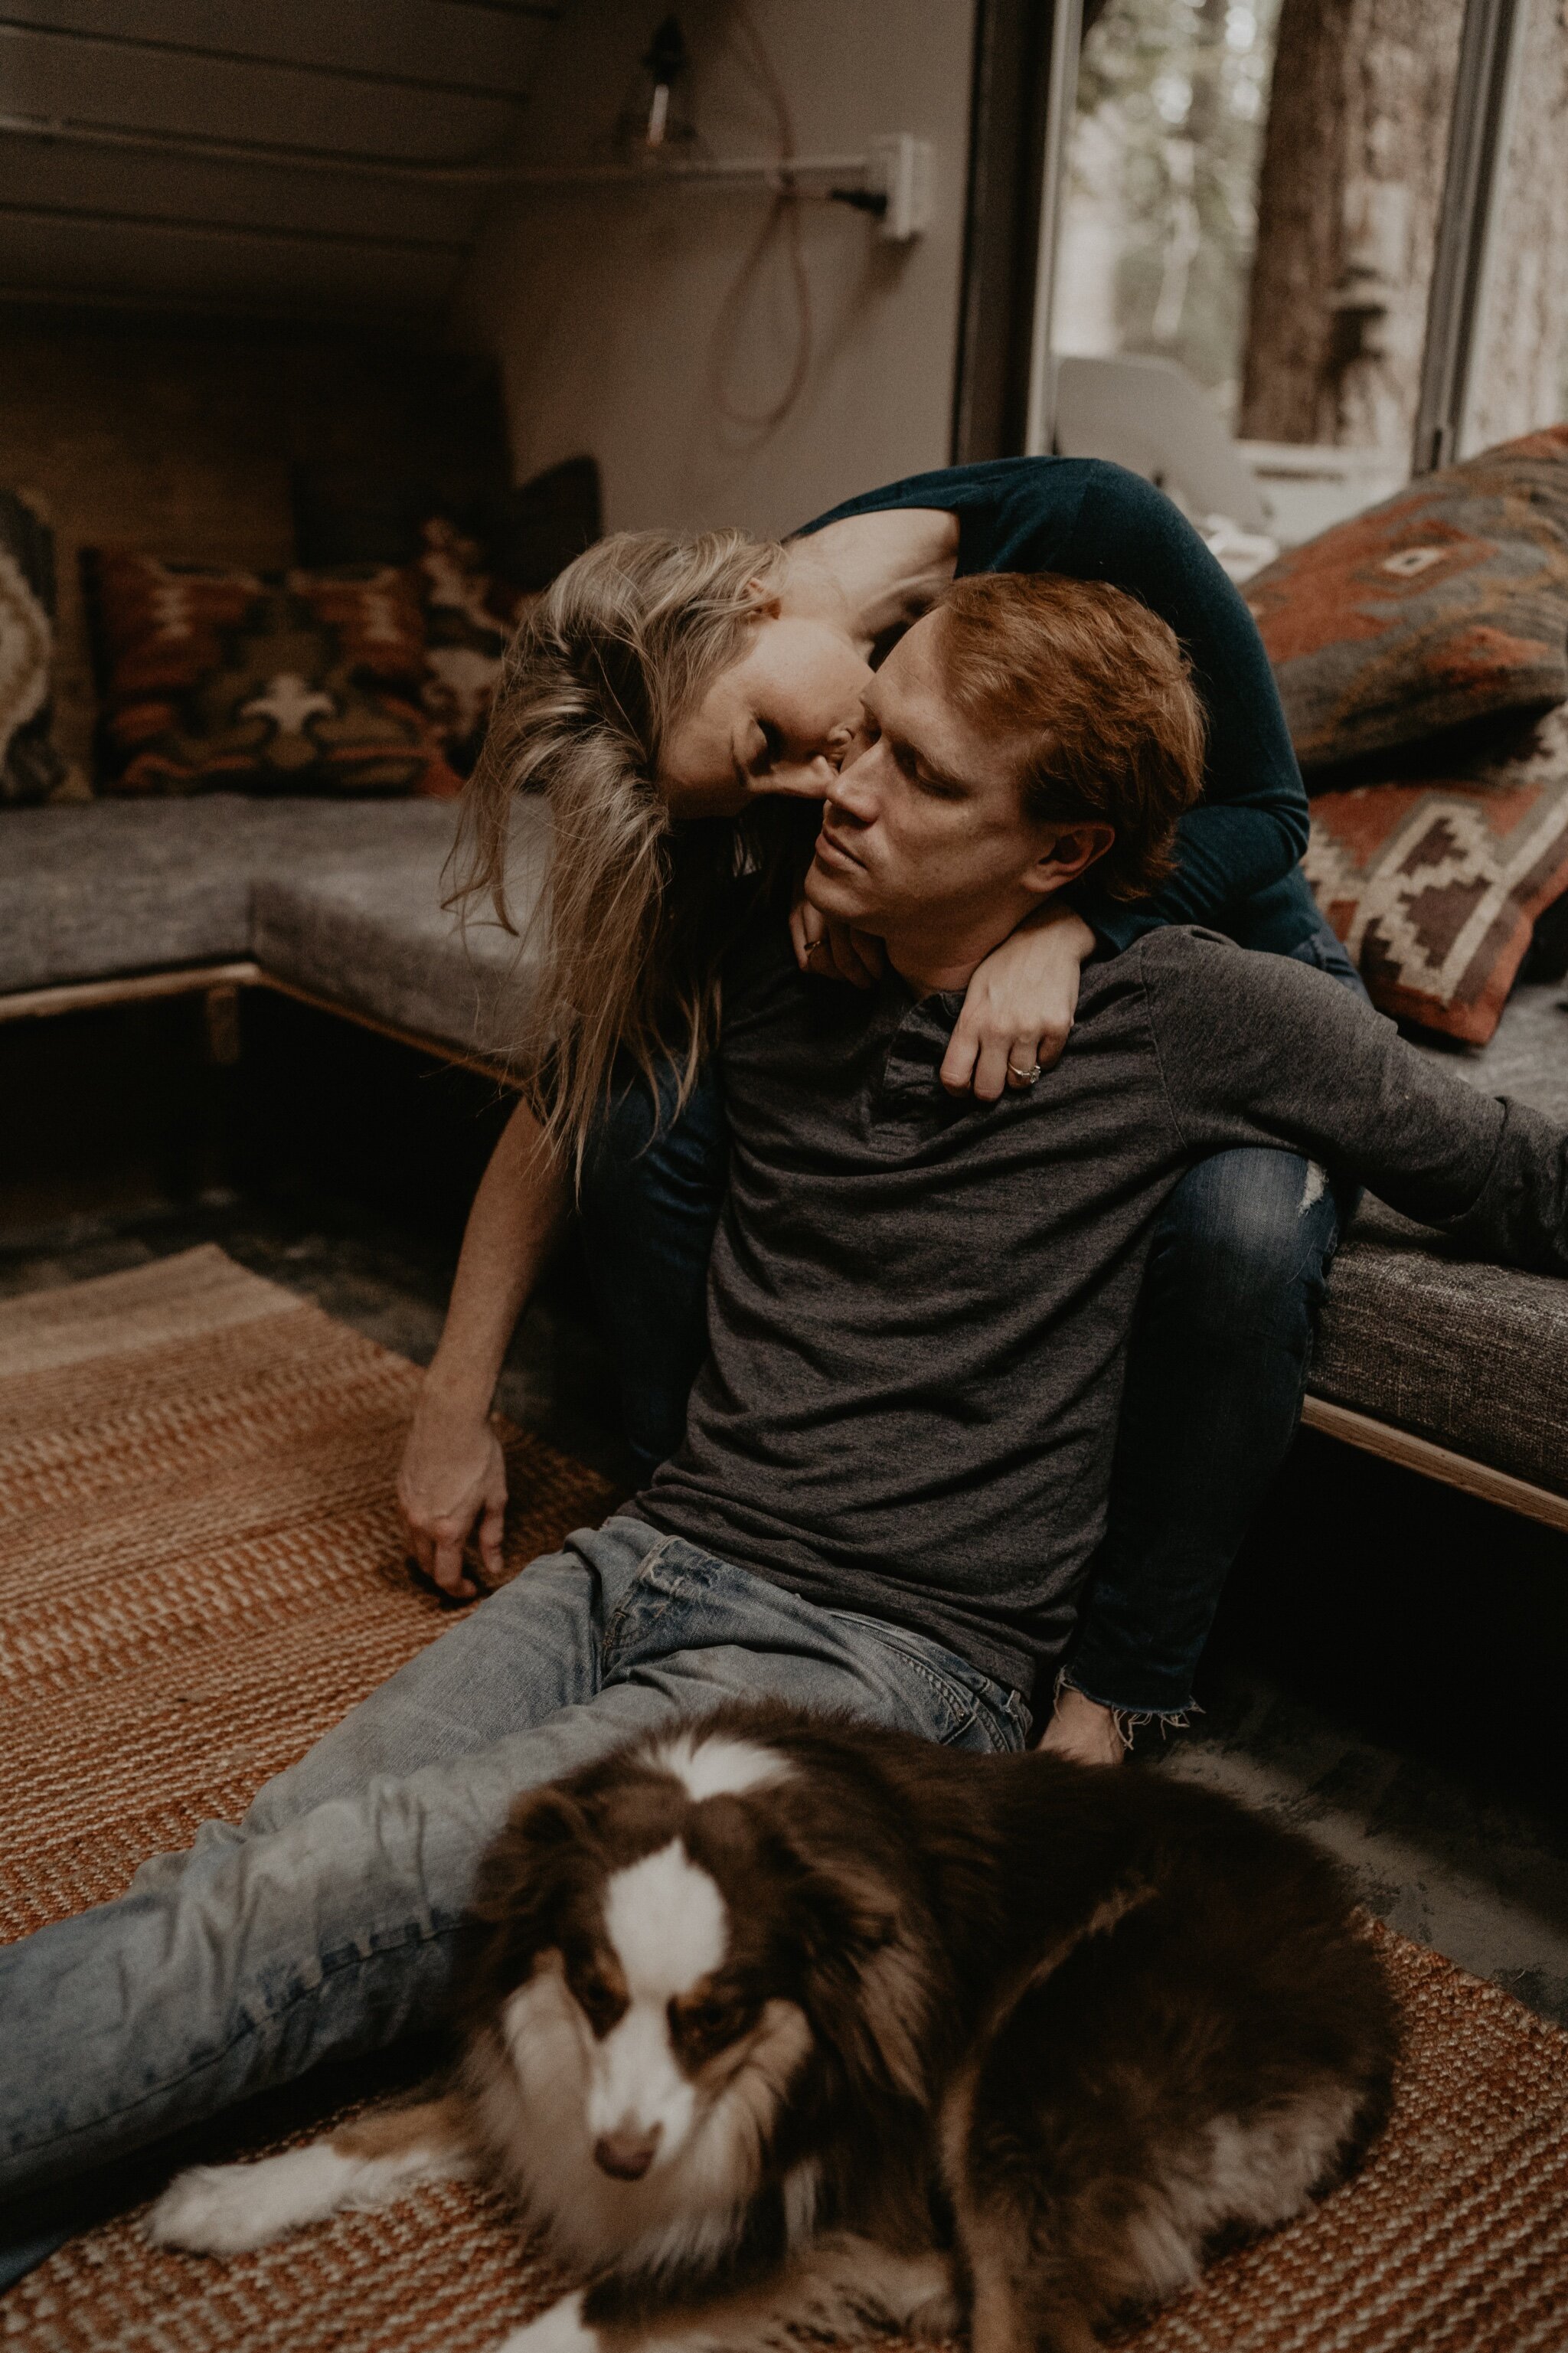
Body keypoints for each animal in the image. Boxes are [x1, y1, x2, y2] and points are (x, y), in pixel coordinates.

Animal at [146, 1713, 1393, 2353]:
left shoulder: (833, 2179)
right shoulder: (557, 2078)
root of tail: (1359, 1968)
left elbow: (604, 2305)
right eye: (593, 1990)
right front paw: (231, 2194)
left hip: (1022, 2078)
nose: (624, 2160)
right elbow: (392, 2125)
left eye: (721, 2016)